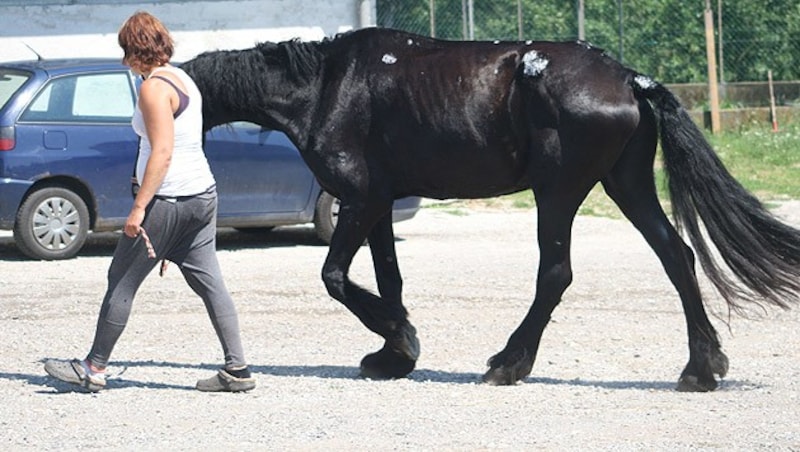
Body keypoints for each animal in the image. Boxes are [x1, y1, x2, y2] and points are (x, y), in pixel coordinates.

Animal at [181, 26, 800, 390]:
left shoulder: (359, 201)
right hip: (625, 184)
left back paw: (510, 362)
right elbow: (388, 278)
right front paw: (394, 352)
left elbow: (335, 276)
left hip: (558, 192)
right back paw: (701, 368)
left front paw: (400, 338)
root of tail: (629, 78)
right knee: (678, 257)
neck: (325, 85)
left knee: (556, 273)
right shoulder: (379, 204)